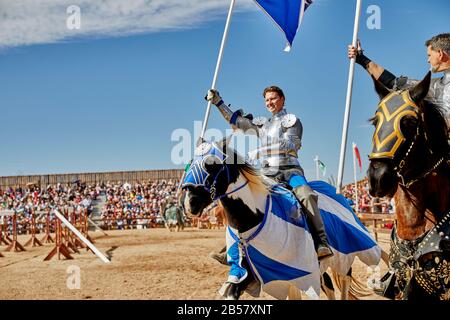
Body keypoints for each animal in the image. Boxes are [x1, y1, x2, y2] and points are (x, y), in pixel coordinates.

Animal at [181, 139, 382, 300]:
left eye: (211, 164)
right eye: (191, 163)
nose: (189, 202)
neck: (254, 216)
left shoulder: (299, 273)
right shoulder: (247, 272)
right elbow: (231, 290)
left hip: (346, 256)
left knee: (344, 282)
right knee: (329, 286)